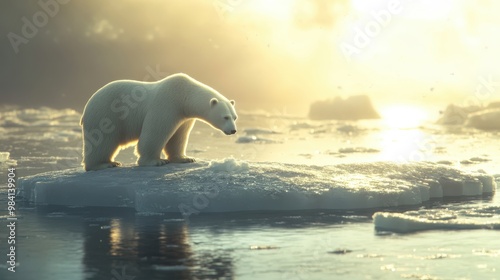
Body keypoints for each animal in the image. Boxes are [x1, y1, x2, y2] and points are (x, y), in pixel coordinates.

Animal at [80, 73, 238, 171]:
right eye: (225, 117)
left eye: (235, 117)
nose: (233, 130)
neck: (184, 95)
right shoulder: (166, 104)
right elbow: (155, 133)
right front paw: (155, 161)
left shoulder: (184, 117)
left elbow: (178, 137)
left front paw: (185, 158)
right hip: (106, 114)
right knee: (103, 140)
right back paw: (104, 164)